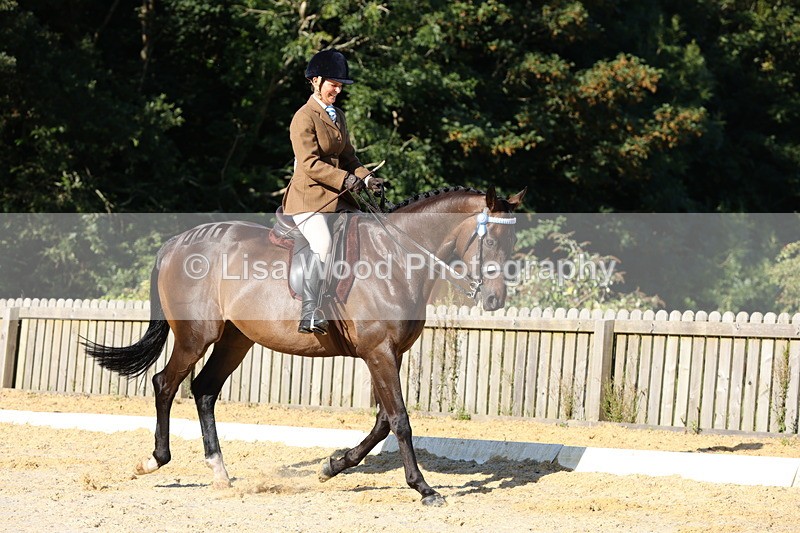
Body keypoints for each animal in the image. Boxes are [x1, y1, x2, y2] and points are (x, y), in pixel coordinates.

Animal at [84, 185, 526, 506]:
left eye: (512, 240)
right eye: (492, 239)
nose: (494, 299)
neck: (396, 258)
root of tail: (176, 243)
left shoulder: (389, 354)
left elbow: (383, 421)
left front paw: (333, 465)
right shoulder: (379, 352)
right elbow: (399, 419)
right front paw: (424, 488)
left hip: (235, 340)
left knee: (204, 390)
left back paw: (220, 473)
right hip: (196, 335)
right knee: (166, 384)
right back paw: (154, 461)